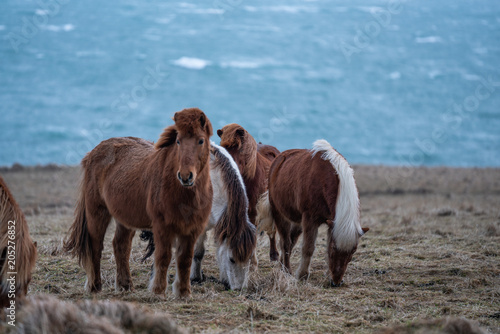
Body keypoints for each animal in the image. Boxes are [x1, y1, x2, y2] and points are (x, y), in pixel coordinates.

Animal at [64, 107, 213, 298]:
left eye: (201, 140)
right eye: (178, 141)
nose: (186, 176)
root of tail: (92, 153)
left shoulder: (192, 229)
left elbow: (185, 259)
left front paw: (184, 293)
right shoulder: (162, 226)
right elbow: (163, 256)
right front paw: (158, 291)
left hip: (125, 219)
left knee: (121, 246)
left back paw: (125, 286)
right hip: (97, 212)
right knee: (95, 246)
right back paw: (95, 287)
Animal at [258, 140, 368, 286]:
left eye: (353, 250)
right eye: (334, 248)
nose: (336, 282)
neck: (325, 179)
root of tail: (278, 159)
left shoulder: (331, 222)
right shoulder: (310, 219)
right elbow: (308, 248)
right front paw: (302, 275)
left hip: (298, 222)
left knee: (291, 241)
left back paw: (282, 266)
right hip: (280, 215)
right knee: (285, 243)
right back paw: (287, 270)